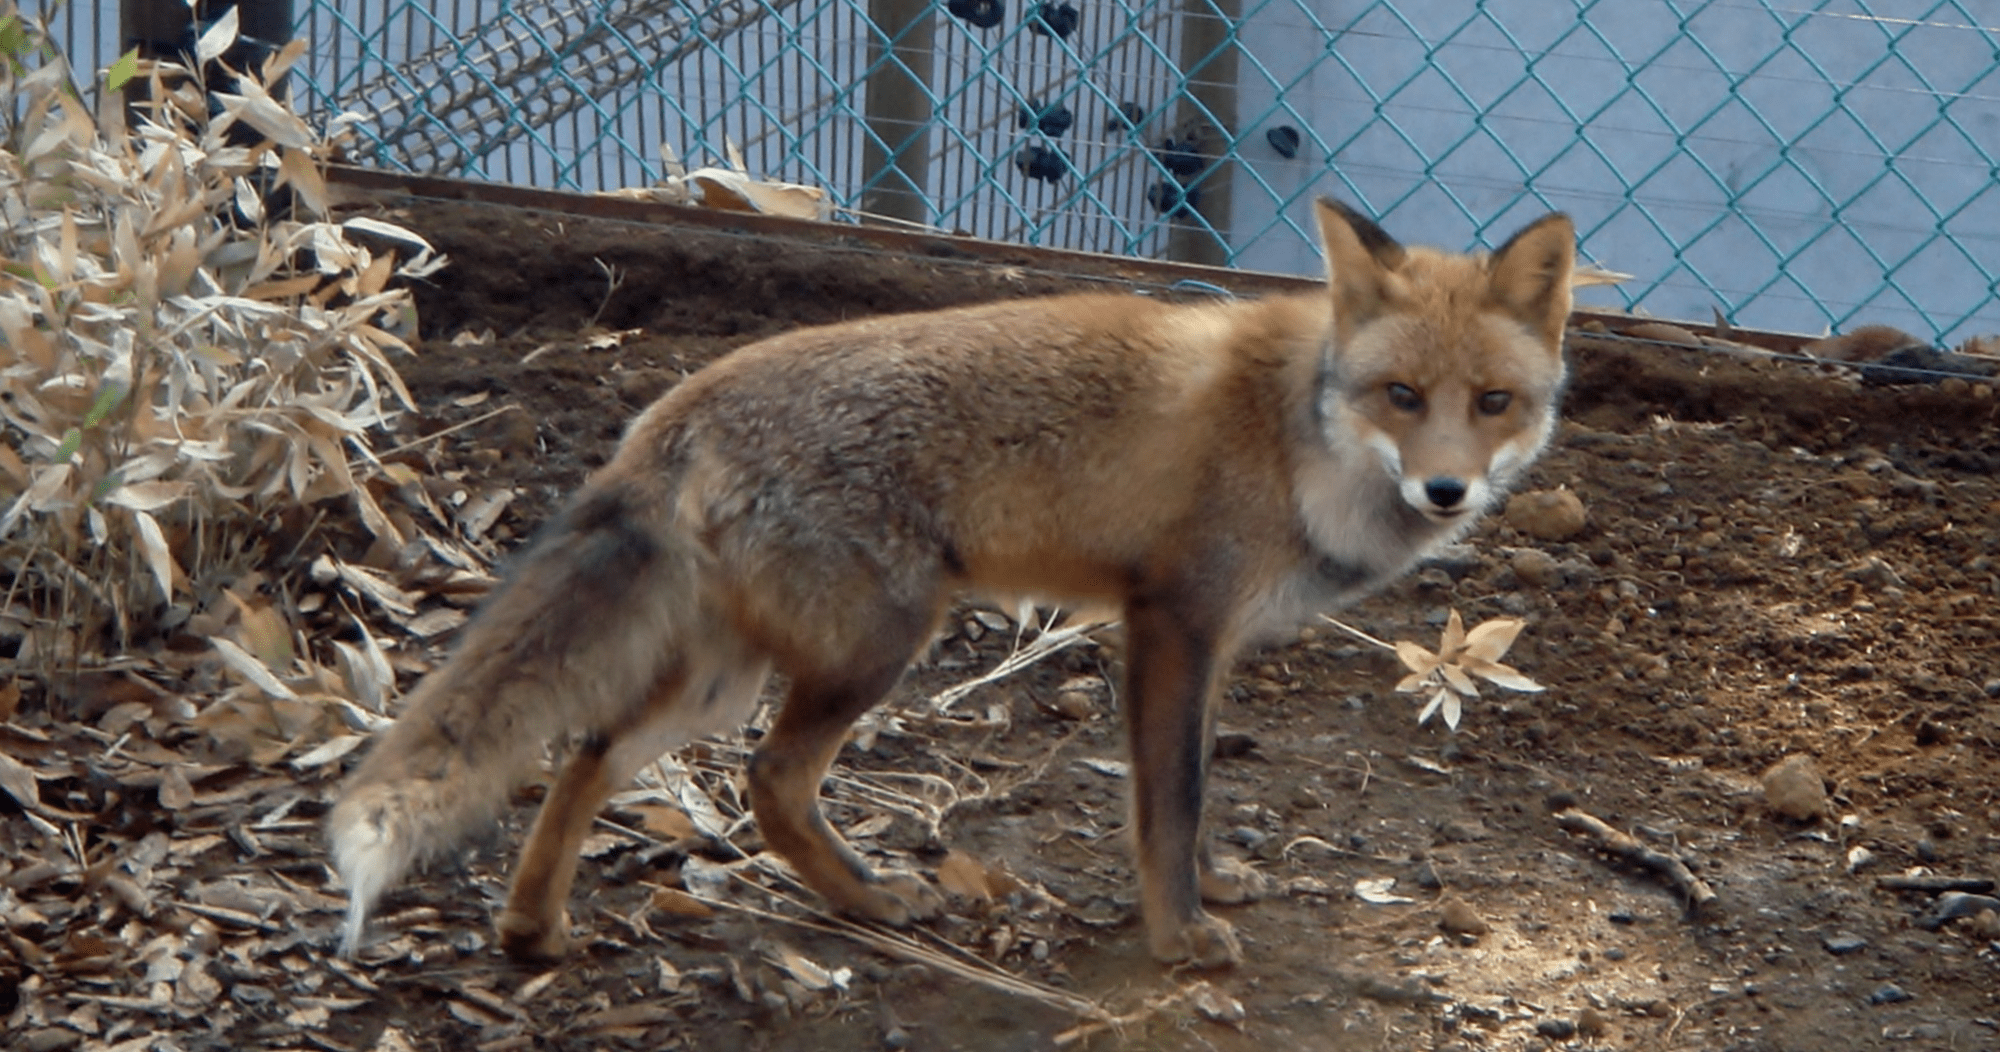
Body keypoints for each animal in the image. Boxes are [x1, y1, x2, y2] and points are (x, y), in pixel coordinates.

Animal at [328, 200, 1576, 972]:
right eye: (1400, 395)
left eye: (1492, 402)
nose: (1447, 490)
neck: (1293, 431)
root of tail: (674, 409)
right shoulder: (1171, 620)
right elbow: (1165, 801)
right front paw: (1177, 936)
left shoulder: (1208, 640)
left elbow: (1195, 790)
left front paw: (1212, 885)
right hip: (877, 641)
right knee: (767, 781)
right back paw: (874, 899)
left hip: (726, 672)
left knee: (587, 752)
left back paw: (533, 927)